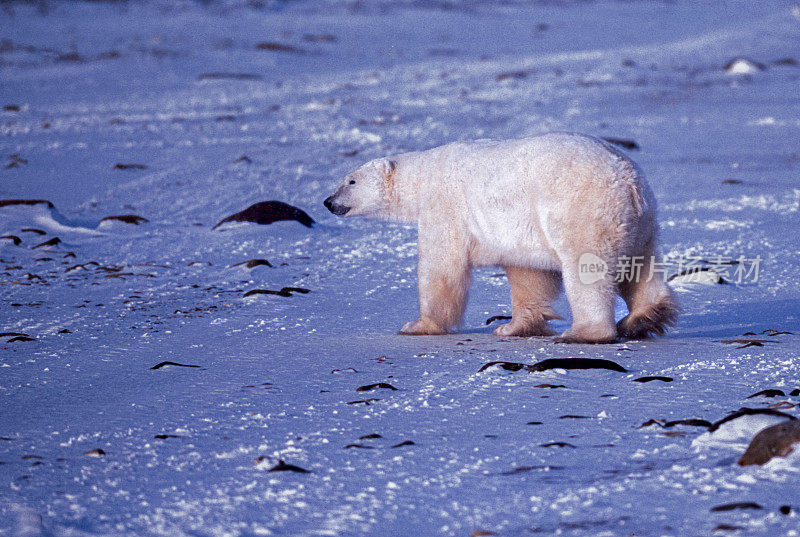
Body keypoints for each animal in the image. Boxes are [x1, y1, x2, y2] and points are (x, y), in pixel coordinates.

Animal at [322, 131, 680, 340]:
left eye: (350, 181)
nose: (328, 202)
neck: (422, 177)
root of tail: (627, 178)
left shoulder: (444, 208)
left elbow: (441, 269)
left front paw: (418, 325)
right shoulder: (521, 230)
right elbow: (528, 274)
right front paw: (511, 327)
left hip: (582, 210)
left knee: (586, 270)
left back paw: (582, 332)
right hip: (640, 222)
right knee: (642, 266)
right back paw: (644, 317)